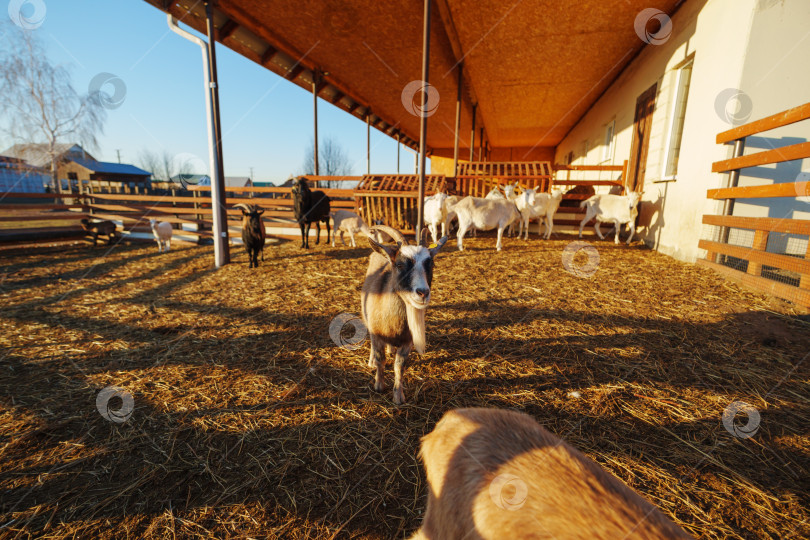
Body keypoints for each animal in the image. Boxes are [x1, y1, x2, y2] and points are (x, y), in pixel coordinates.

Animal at [361, 225, 448, 405]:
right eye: (400, 264)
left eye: (431, 264)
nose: (423, 293)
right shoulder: (376, 334)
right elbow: (380, 360)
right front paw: (379, 385)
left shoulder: (407, 341)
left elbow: (399, 366)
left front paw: (398, 396)